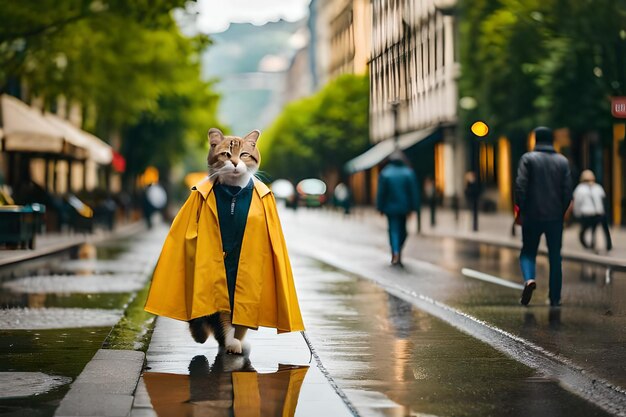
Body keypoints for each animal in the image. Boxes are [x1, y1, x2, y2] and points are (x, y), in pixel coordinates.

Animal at [188, 126, 260, 352]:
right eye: (226, 154)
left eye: (244, 154)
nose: (236, 163)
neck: (234, 193)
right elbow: (224, 314)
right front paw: (230, 342)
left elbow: (241, 316)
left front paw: (237, 339)